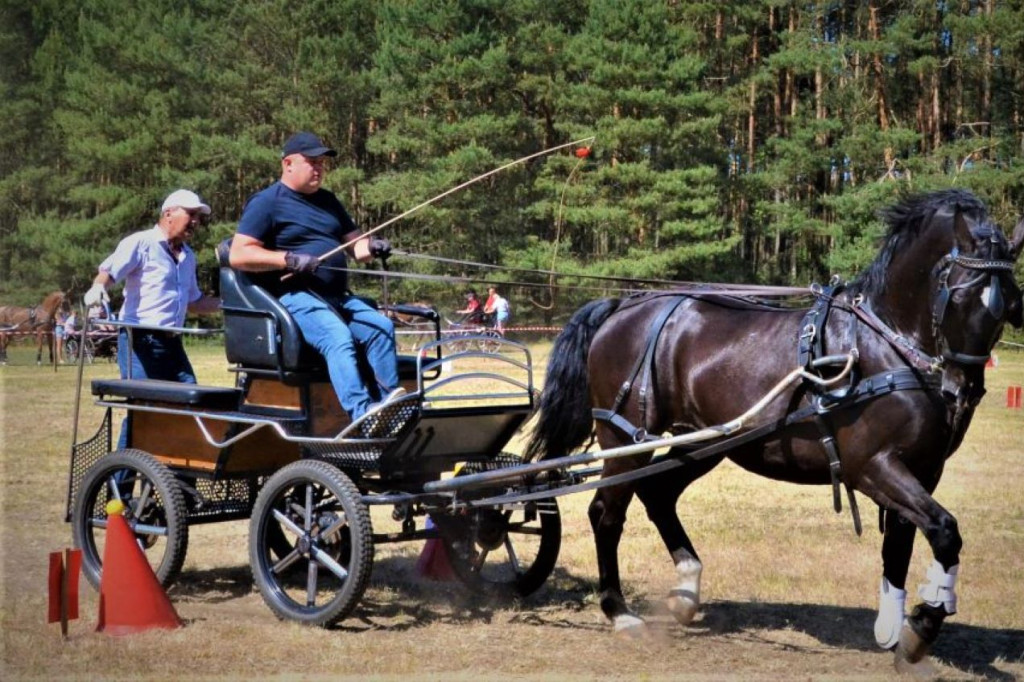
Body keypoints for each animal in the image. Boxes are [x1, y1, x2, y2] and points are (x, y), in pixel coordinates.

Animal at [528, 188, 1024, 671]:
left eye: (1009, 303)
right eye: (958, 296)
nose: (962, 393)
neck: (883, 344)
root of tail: (624, 306)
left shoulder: (922, 469)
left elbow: (900, 544)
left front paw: (894, 629)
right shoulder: (871, 465)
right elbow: (944, 530)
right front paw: (922, 626)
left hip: (707, 442)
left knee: (658, 494)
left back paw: (686, 592)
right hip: (626, 439)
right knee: (605, 513)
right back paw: (619, 611)